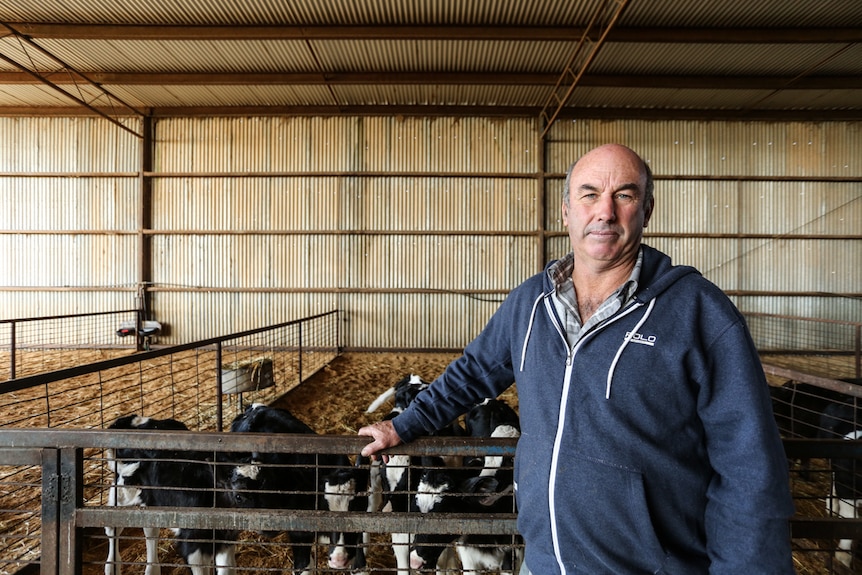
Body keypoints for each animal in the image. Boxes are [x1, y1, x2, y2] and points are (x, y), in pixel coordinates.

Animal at [105, 414, 240, 575]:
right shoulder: (194, 545)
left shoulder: (226, 537)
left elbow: (227, 567)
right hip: (124, 488)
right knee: (112, 524)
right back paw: (112, 566)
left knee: (150, 528)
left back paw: (152, 569)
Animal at [230, 404, 368, 575]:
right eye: (325, 509)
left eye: (357, 509)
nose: (339, 560)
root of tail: (255, 409)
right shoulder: (299, 534)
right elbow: (303, 567)